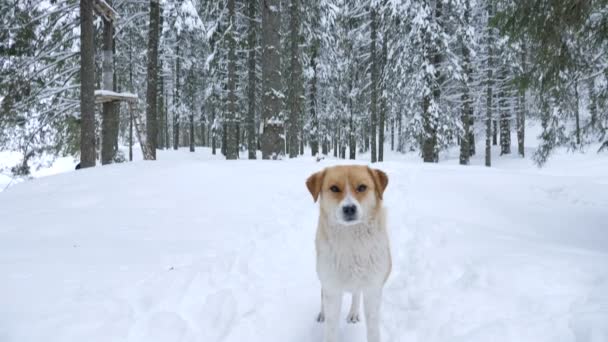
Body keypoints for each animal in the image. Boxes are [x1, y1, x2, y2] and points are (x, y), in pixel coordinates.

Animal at [306, 166, 392, 342]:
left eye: (362, 187)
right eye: (334, 188)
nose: (349, 208)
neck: (352, 241)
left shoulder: (372, 289)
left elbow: (373, 330)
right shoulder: (332, 287)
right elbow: (331, 329)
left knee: (356, 294)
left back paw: (353, 313)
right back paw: (322, 313)